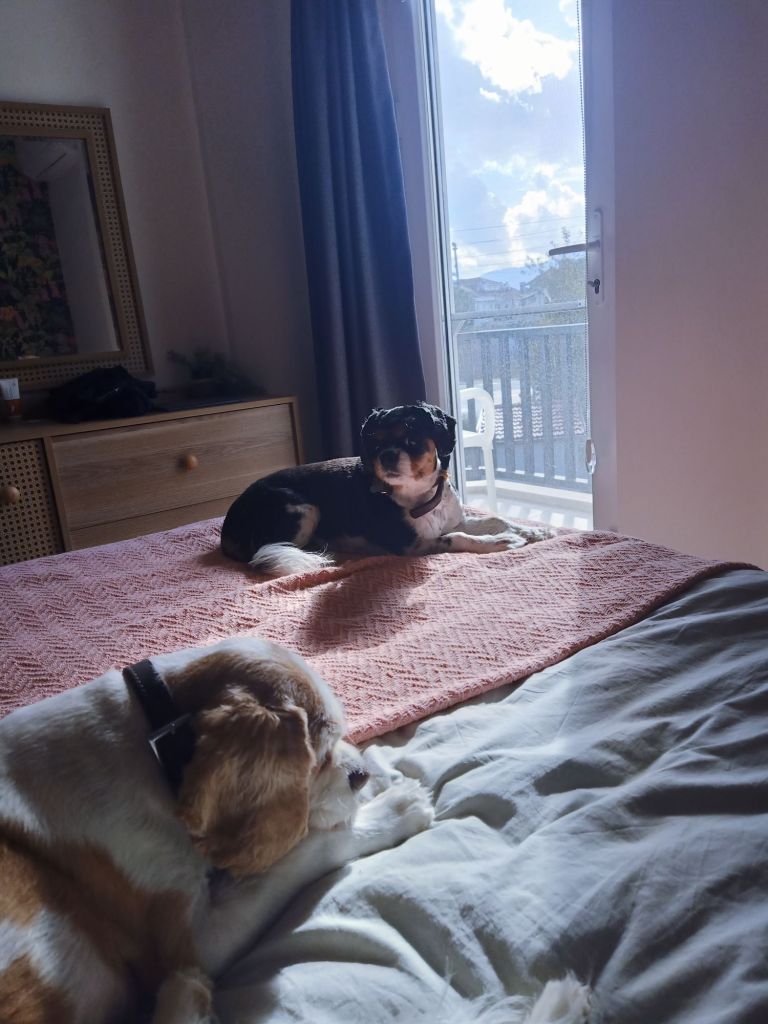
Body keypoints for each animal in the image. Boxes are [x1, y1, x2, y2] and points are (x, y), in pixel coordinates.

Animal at [0, 636, 434, 1024]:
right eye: (319, 753)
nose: (360, 774)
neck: (153, 747)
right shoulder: (199, 943)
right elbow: (308, 850)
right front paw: (391, 810)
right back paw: (186, 998)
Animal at [220, 402, 551, 576]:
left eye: (411, 436)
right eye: (374, 441)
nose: (387, 455)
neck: (422, 497)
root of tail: (228, 527)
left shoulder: (454, 519)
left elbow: (495, 519)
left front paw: (533, 531)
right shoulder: (411, 545)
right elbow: (458, 538)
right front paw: (503, 542)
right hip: (304, 509)